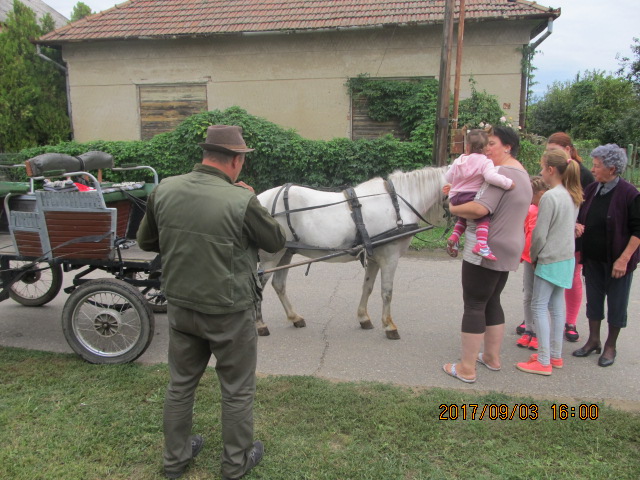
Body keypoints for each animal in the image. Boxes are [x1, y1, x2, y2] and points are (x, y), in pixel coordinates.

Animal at [255, 167, 444, 340]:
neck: (397, 202)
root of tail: (258, 200)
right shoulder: (390, 257)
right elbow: (387, 292)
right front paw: (389, 326)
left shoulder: (374, 257)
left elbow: (367, 287)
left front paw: (364, 318)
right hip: (271, 257)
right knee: (258, 285)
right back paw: (260, 325)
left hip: (286, 253)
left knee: (279, 284)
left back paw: (295, 318)